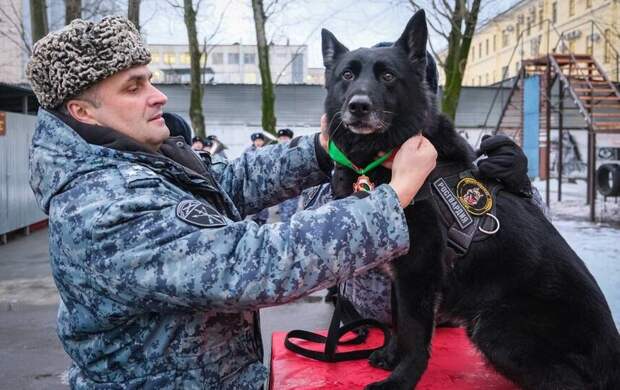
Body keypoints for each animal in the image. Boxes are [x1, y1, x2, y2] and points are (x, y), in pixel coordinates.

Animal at [322, 9, 616, 390]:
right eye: (347, 75)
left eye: (387, 76)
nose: (358, 106)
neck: (386, 153)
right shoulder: (401, 275)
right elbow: (399, 320)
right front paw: (390, 356)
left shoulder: (419, 271)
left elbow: (415, 333)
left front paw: (401, 379)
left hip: (496, 329)